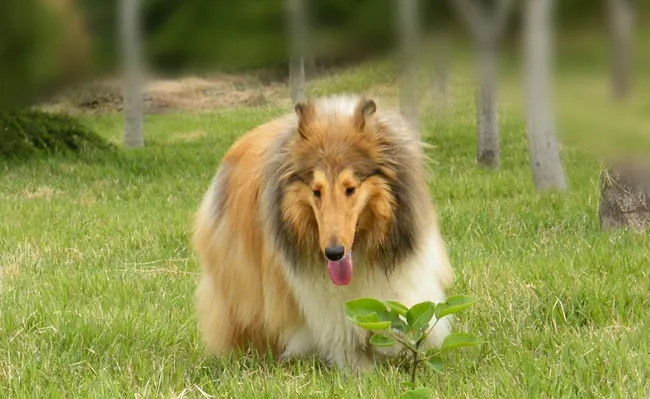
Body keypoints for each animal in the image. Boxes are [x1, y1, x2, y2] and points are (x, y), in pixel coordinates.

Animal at [192, 94, 454, 372]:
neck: (362, 249)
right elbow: (341, 329)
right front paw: (359, 368)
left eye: (350, 188)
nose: (333, 253)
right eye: (316, 191)